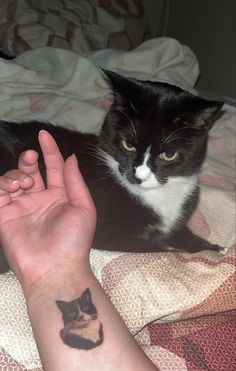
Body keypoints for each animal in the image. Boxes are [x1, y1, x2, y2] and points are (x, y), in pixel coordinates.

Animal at [0, 70, 225, 272]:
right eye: (128, 144)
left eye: (169, 154)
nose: (138, 176)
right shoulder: (104, 231)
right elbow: (156, 247)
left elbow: (180, 234)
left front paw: (213, 248)